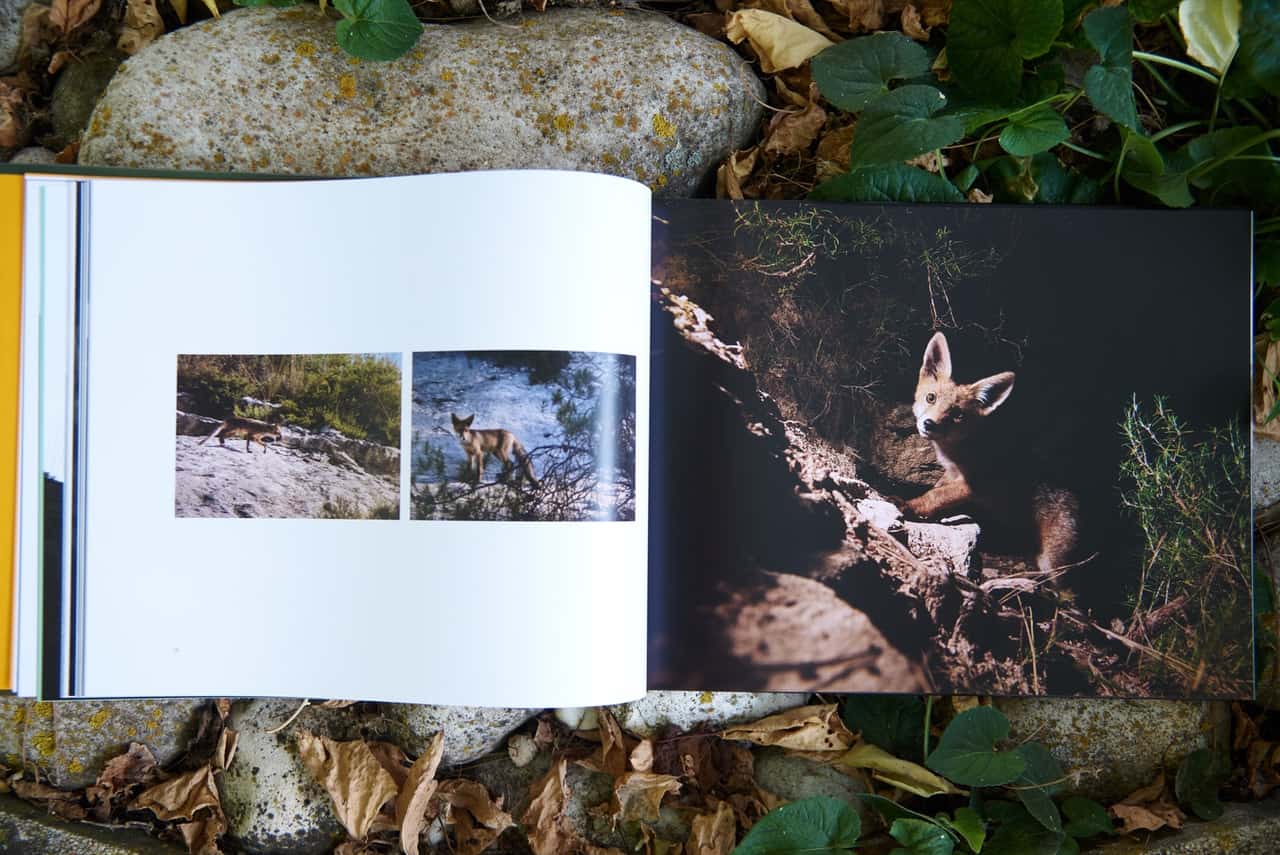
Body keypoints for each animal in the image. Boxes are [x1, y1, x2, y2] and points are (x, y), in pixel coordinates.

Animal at [901, 332, 1080, 573]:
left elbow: (937, 496)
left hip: (1051, 562)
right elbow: (938, 487)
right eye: (931, 398)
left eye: (957, 415)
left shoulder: (974, 486)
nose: (929, 424)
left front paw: (910, 506)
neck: (958, 453)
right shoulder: (952, 474)